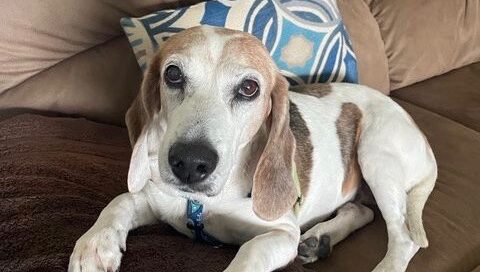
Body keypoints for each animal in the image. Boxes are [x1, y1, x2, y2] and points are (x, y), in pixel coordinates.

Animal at [68, 26, 438, 272]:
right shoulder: (157, 198)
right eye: (172, 75)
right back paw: (320, 240)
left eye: (249, 88)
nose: (189, 162)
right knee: (362, 211)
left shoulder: (281, 234)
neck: (201, 204)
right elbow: (121, 201)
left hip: (375, 152)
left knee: (404, 237)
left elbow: (248, 254)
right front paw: (94, 245)